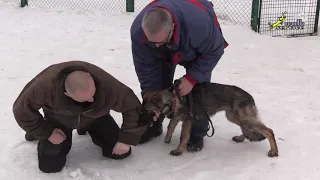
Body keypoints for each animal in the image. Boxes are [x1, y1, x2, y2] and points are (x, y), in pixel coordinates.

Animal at [141, 81, 278, 158]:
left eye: (146, 110)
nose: (140, 114)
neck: (173, 99)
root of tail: (250, 97)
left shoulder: (187, 121)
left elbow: (183, 137)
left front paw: (179, 150)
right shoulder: (176, 117)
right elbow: (170, 127)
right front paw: (167, 139)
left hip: (245, 119)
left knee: (269, 131)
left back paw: (273, 151)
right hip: (234, 117)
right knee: (246, 130)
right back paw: (240, 138)